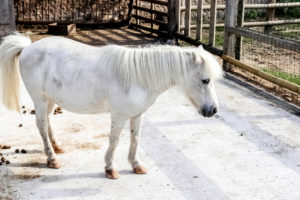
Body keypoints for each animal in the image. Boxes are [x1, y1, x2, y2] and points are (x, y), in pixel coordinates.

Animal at [0, 33, 221, 180]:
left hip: (50, 98)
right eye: (205, 80)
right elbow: (114, 141)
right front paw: (110, 168)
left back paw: (57, 147)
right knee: (41, 125)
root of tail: (27, 48)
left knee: (47, 121)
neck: (139, 76)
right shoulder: (119, 115)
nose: (213, 110)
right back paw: (51, 158)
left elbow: (135, 139)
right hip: (39, 99)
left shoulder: (137, 115)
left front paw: (136, 165)